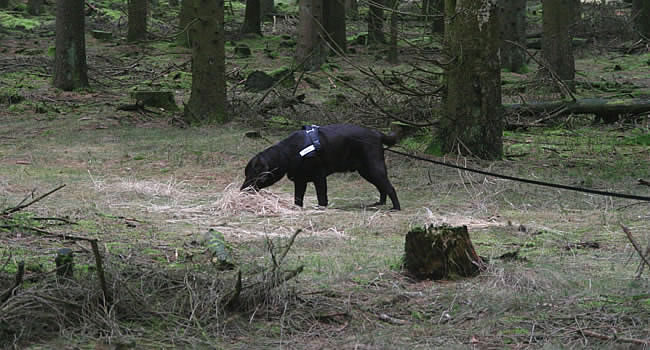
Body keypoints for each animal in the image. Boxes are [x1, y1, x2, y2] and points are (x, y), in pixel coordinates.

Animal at [240, 123, 398, 209]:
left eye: (251, 174)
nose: (241, 190)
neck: (288, 152)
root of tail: (376, 133)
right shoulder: (300, 181)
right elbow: (298, 199)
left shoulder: (319, 177)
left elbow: (321, 197)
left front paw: (321, 208)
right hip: (366, 171)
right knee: (382, 187)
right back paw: (380, 203)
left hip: (373, 168)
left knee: (390, 188)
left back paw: (395, 208)